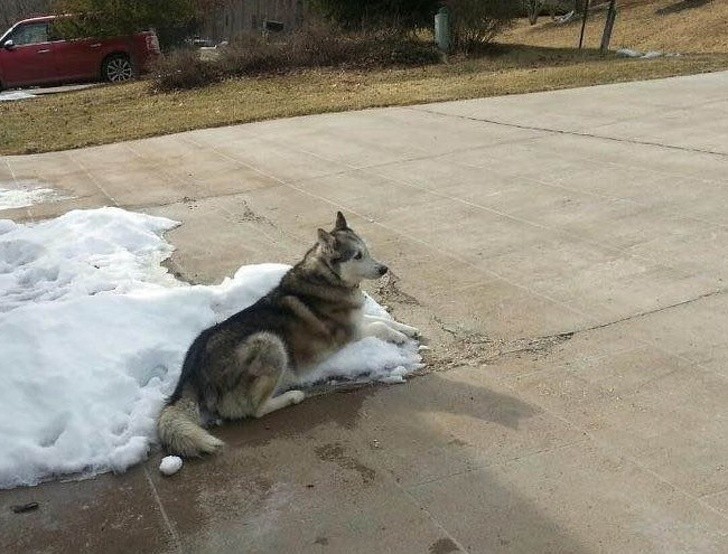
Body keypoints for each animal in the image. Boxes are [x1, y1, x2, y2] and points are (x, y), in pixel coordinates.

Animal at [159, 209, 420, 454]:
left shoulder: (357, 320)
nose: (384, 269)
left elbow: (383, 319)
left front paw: (410, 329)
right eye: (357, 255)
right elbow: (381, 325)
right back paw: (292, 396)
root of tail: (191, 375)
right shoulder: (350, 334)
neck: (329, 277)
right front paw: (399, 337)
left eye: (366, 250)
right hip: (270, 343)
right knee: (255, 411)